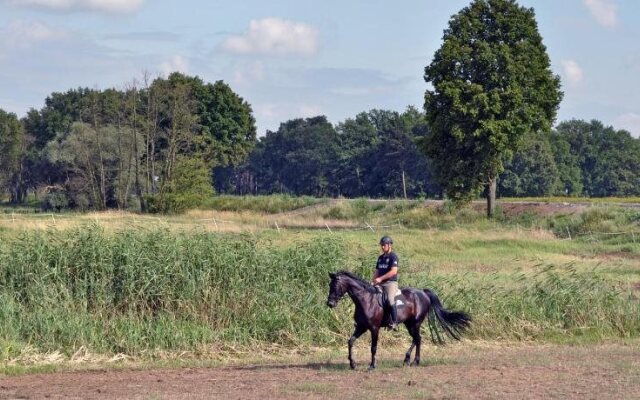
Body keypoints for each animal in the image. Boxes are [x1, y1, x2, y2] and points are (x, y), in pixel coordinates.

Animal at [324, 270, 470, 370]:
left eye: (335, 286)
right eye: (329, 285)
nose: (330, 304)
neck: (366, 300)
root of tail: (423, 292)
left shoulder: (374, 328)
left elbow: (373, 347)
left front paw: (372, 366)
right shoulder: (361, 327)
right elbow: (350, 341)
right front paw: (352, 363)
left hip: (415, 323)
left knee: (418, 339)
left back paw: (414, 361)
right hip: (409, 323)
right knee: (416, 339)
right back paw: (407, 360)